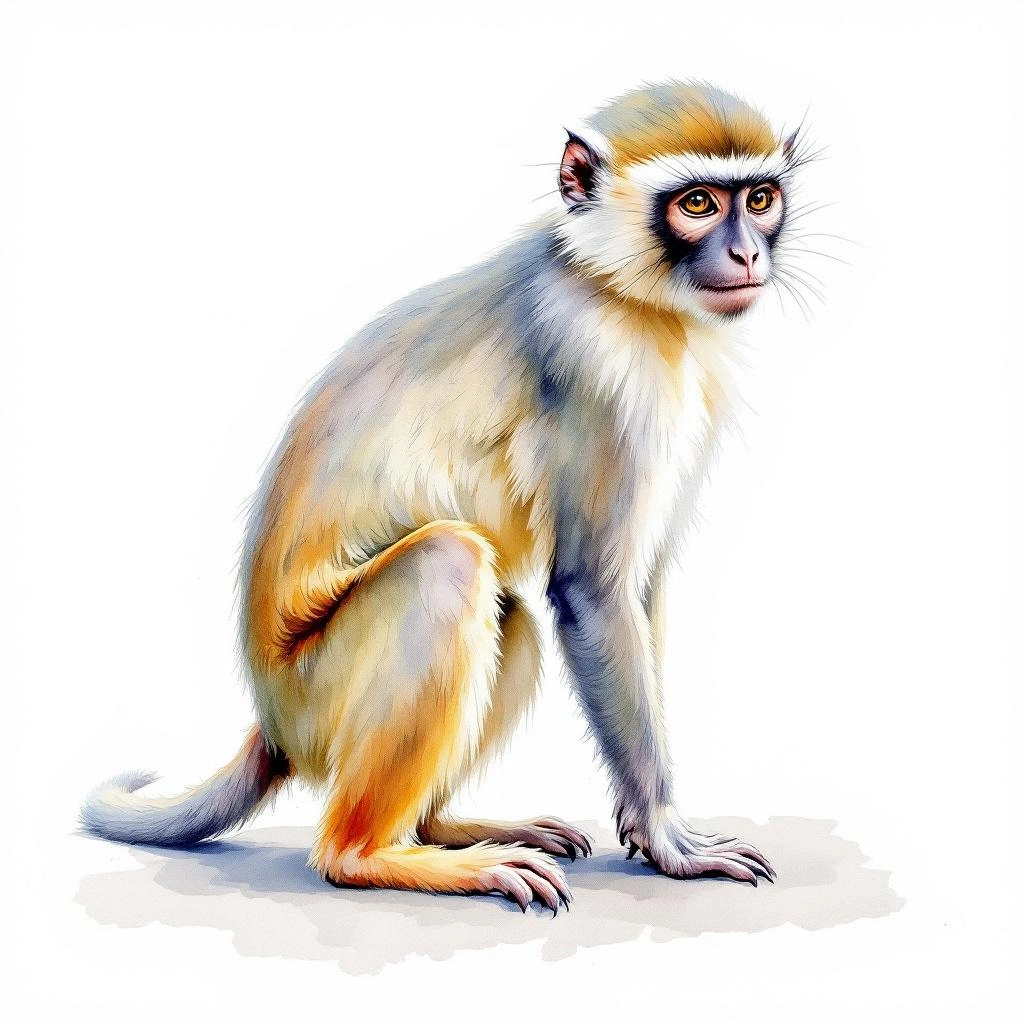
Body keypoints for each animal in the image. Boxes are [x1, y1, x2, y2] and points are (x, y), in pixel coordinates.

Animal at [82, 80, 807, 913]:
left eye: (759, 198)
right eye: (697, 203)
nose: (748, 253)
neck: (613, 287)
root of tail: (272, 722)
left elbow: (639, 588)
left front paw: (642, 826)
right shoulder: (600, 375)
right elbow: (592, 590)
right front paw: (667, 836)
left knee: (507, 613)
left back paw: (441, 829)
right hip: (317, 691)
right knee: (449, 565)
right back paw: (374, 855)